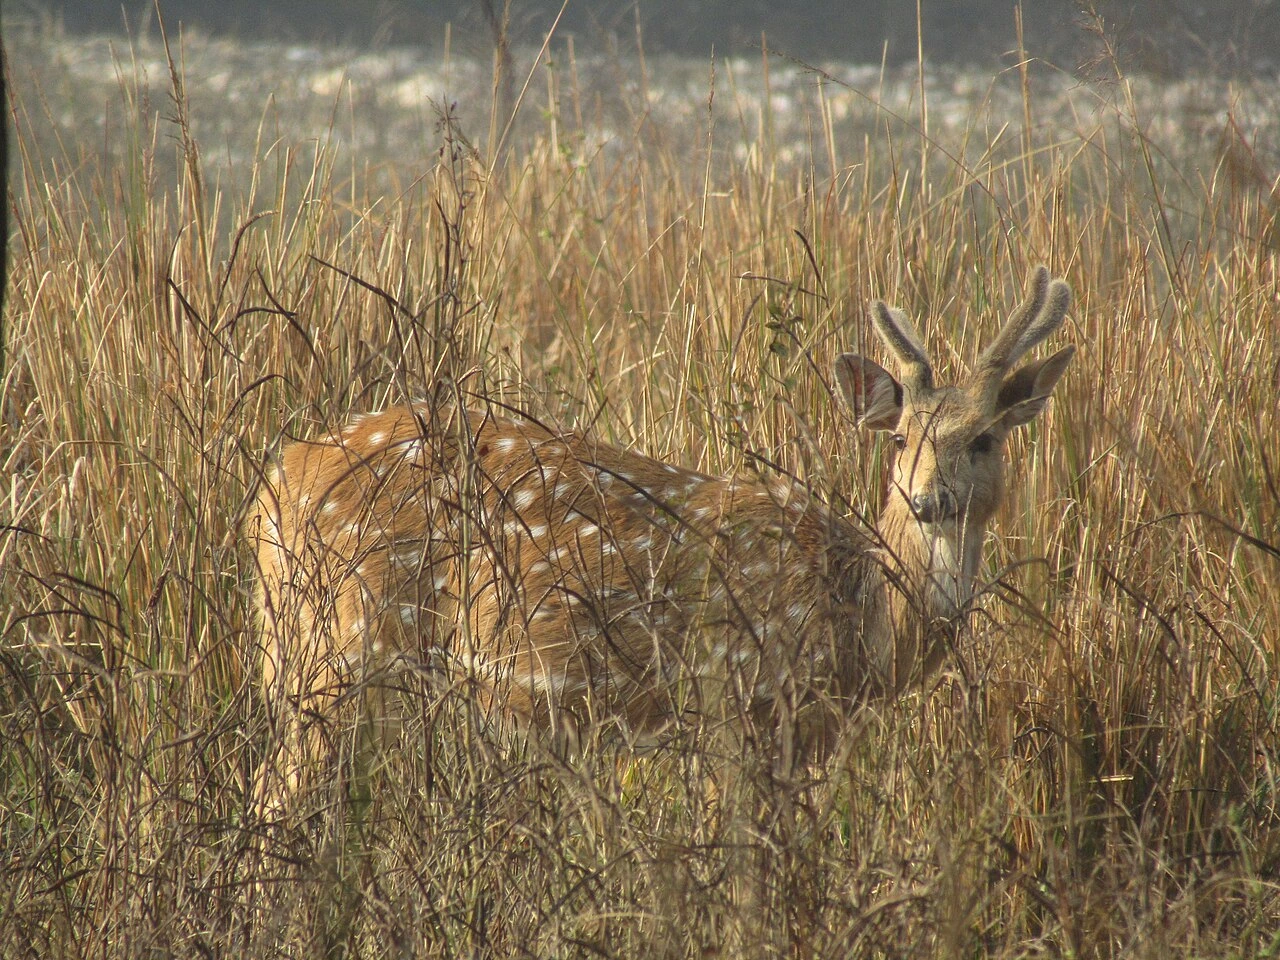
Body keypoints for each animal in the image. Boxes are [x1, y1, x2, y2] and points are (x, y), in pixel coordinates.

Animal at [250, 266, 1074, 813]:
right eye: (902, 438)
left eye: (986, 439)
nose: (929, 501)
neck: (863, 623)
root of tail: (275, 481)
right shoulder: (733, 700)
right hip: (343, 644)